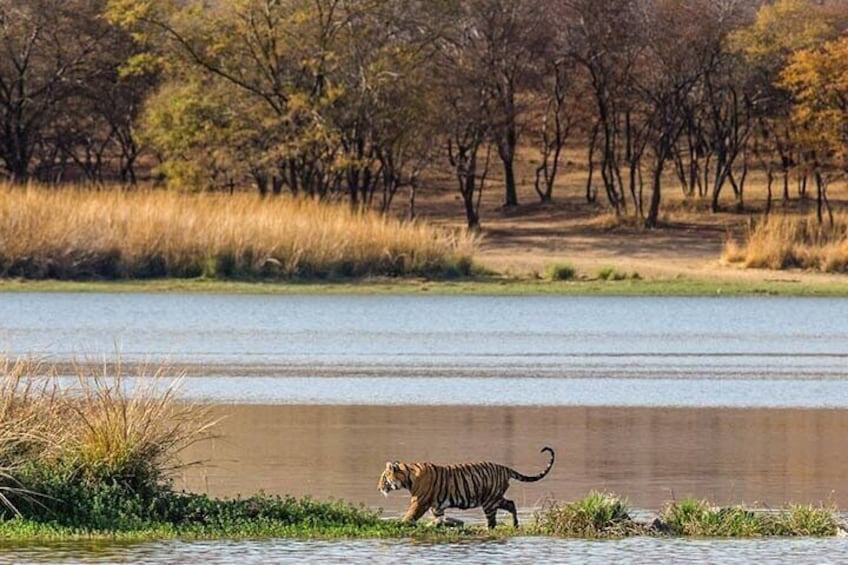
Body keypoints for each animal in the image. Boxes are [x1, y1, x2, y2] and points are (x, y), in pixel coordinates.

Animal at [380, 446, 556, 528]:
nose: (378, 488)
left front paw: (401, 523)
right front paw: (442, 524)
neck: (408, 476)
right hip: (495, 498)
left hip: (489, 501)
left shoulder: (419, 502)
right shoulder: (437, 506)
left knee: (492, 521)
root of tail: (505, 468)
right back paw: (515, 525)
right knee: (511, 504)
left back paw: (489, 528)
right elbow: (439, 517)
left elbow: (410, 515)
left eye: (383, 478)